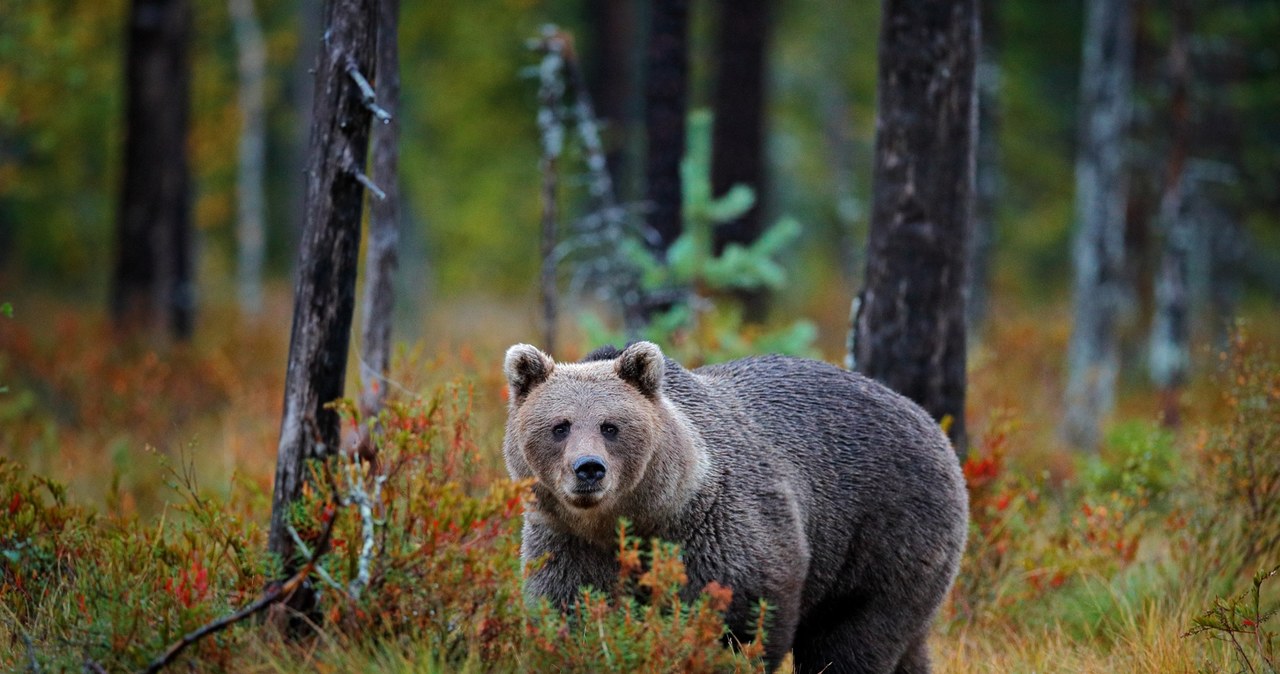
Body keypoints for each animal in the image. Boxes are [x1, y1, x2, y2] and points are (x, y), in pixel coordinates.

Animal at [504, 345, 962, 670]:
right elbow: (569, 610)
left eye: (610, 426)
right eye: (560, 426)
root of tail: (931, 423)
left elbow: (742, 619)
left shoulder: (719, 530)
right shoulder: (567, 542)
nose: (589, 469)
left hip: (887, 533)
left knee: (851, 638)